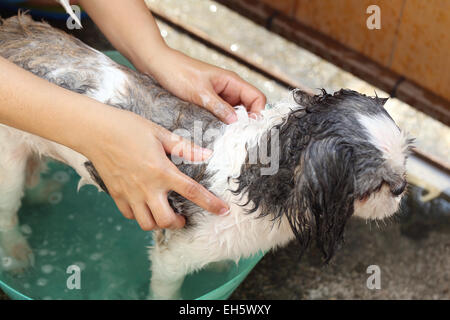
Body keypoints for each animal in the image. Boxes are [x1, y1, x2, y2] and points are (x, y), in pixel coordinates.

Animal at [0, 14, 412, 300]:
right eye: (377, 185)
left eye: (406, 162)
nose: (402, 188)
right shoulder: (173, 254)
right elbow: (166, 286)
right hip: (8, 158)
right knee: (8, 210)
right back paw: (17, 254)